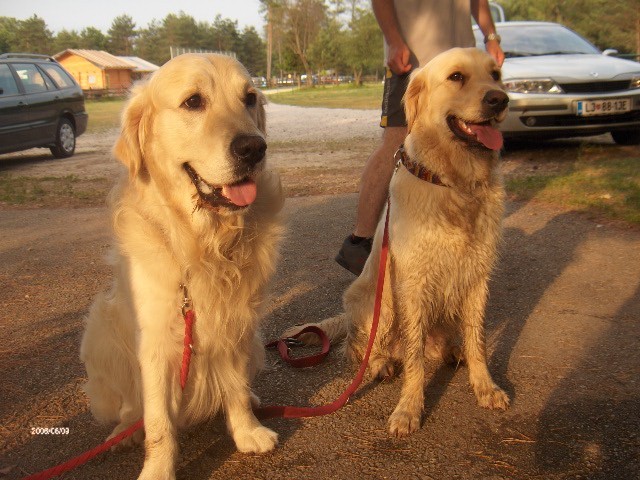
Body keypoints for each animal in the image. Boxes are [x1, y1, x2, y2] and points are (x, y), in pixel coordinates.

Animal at [80, 53, 282, 480]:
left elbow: (234, 389)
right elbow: (158, 422)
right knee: (130, 407)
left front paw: (248, 432)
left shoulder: (235, 324)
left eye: (249, 98)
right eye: (193, 102)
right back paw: (123, 432)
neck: (204, 245)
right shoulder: (156, 343)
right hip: (101, 332)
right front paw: (157, 470)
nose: (254, 148)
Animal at [284, 48, 510, 438]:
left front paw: (485, 386)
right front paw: (409, 409)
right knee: (361, 348)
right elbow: (415, 358)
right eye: (456, 77)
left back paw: (453, 352)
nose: (500, 99)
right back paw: (381, 364)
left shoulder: (477, 279)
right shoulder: (413, 283)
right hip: (379, 302)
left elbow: (477, 339)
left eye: (495, 74)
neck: (454, 184)